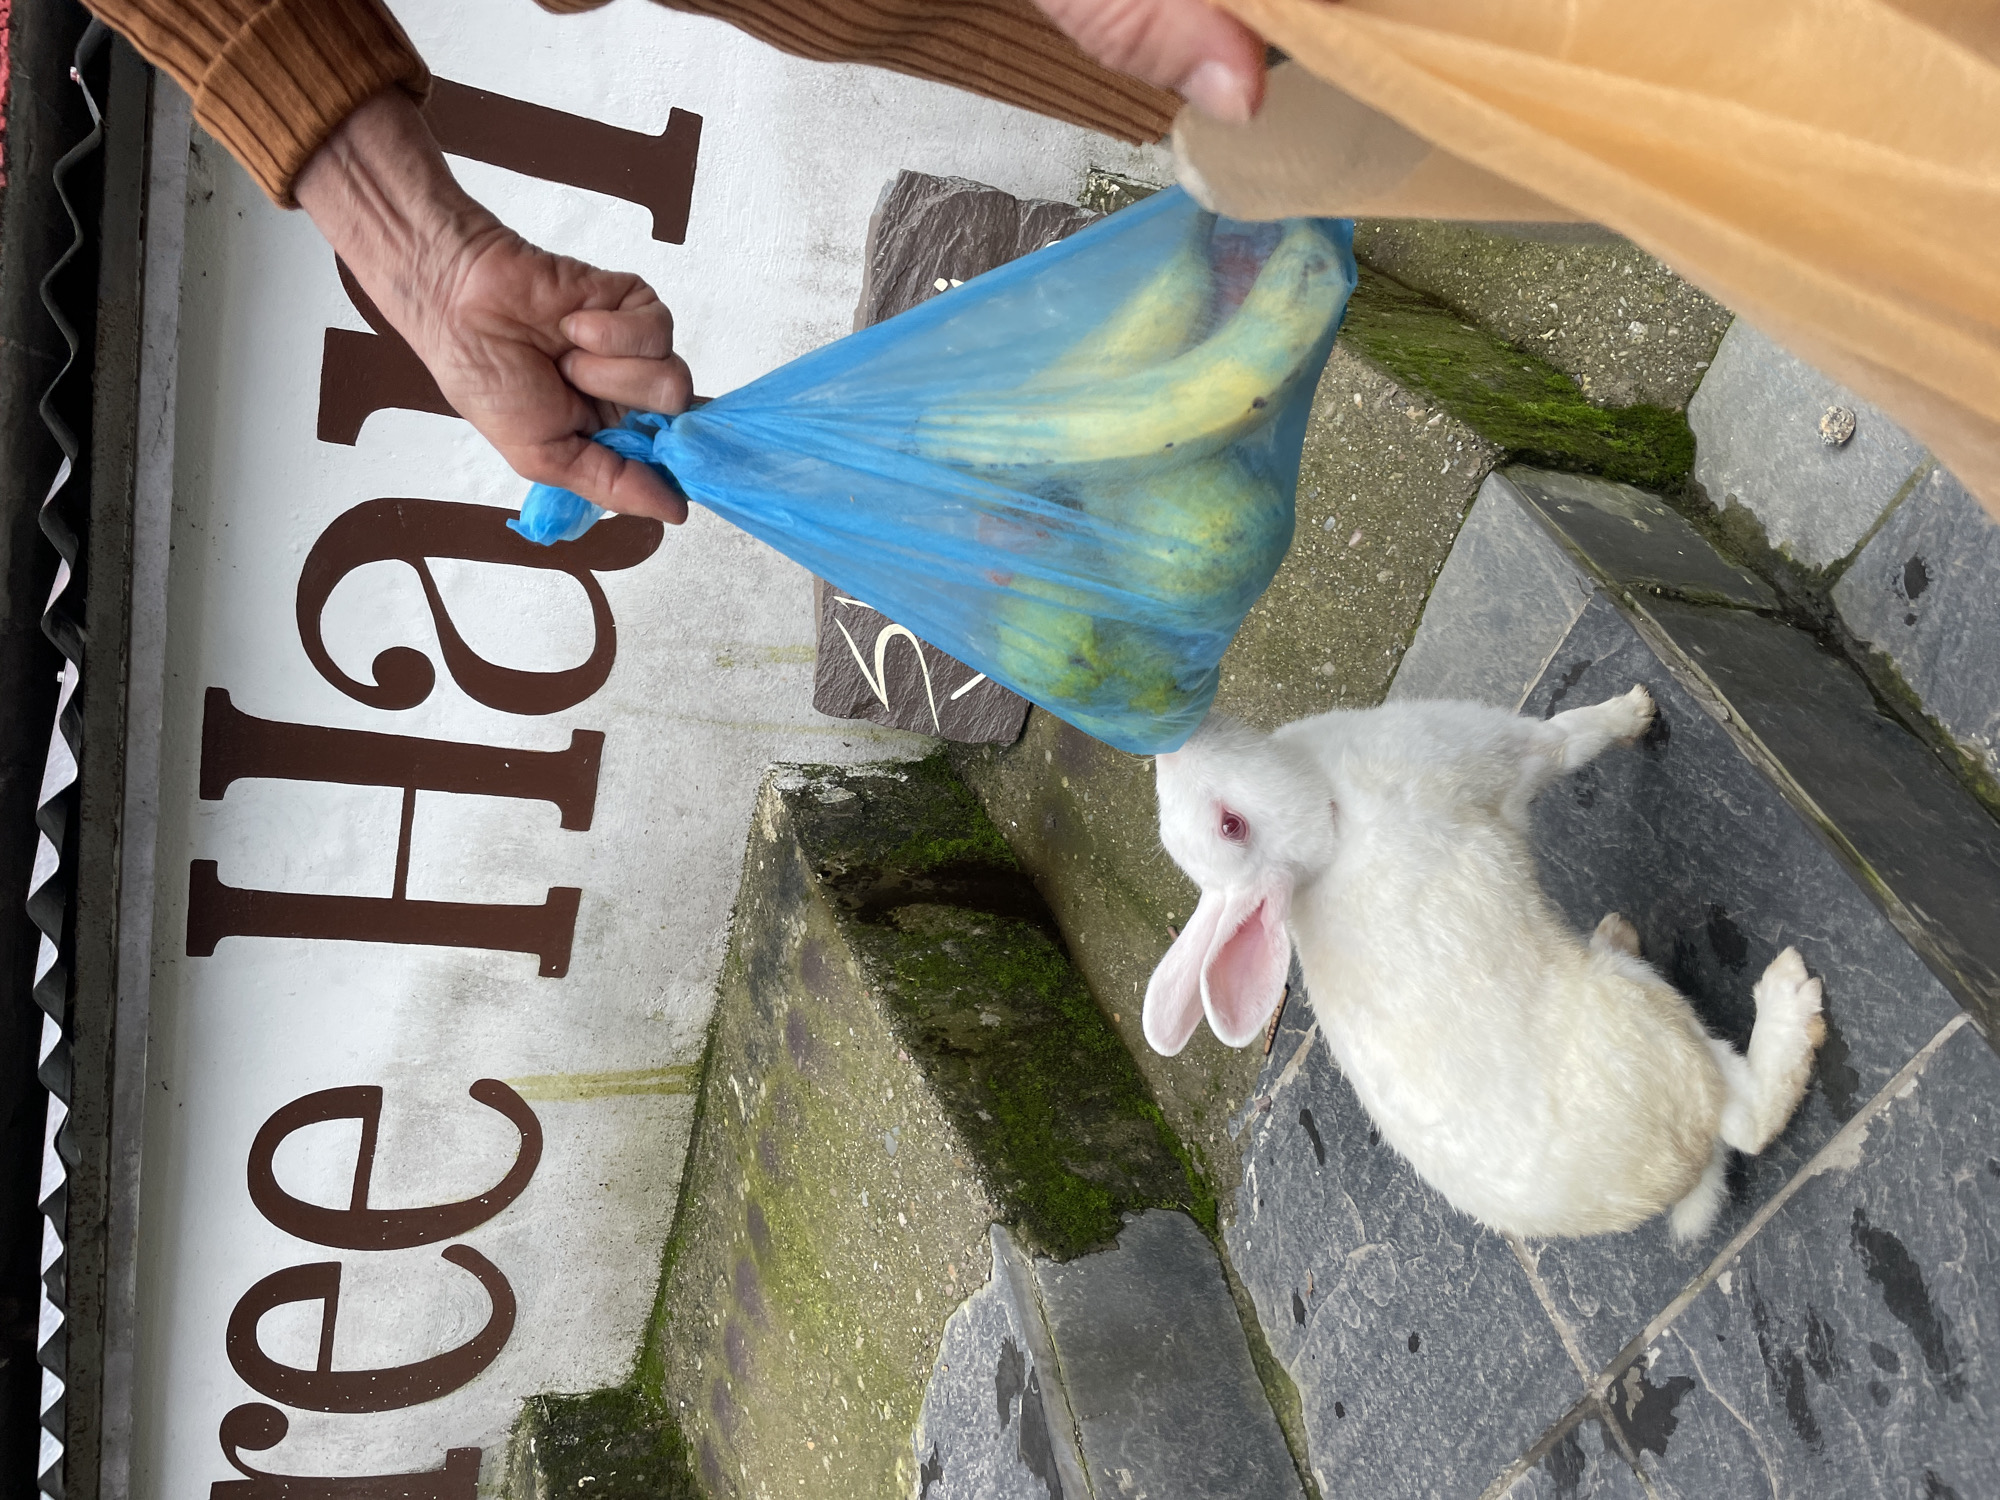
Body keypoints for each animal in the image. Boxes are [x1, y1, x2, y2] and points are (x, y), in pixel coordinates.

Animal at [1144, 687, 1826, 1243]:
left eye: (1229, 826)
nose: (1166, 749)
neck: (1332, 819)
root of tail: (1678, 1176)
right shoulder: (1507, 751)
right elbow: (1573, 735)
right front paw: (1637, 709)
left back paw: (1616, 932)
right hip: (1653, 1020)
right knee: (1750, 1118)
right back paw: (1789, 993)